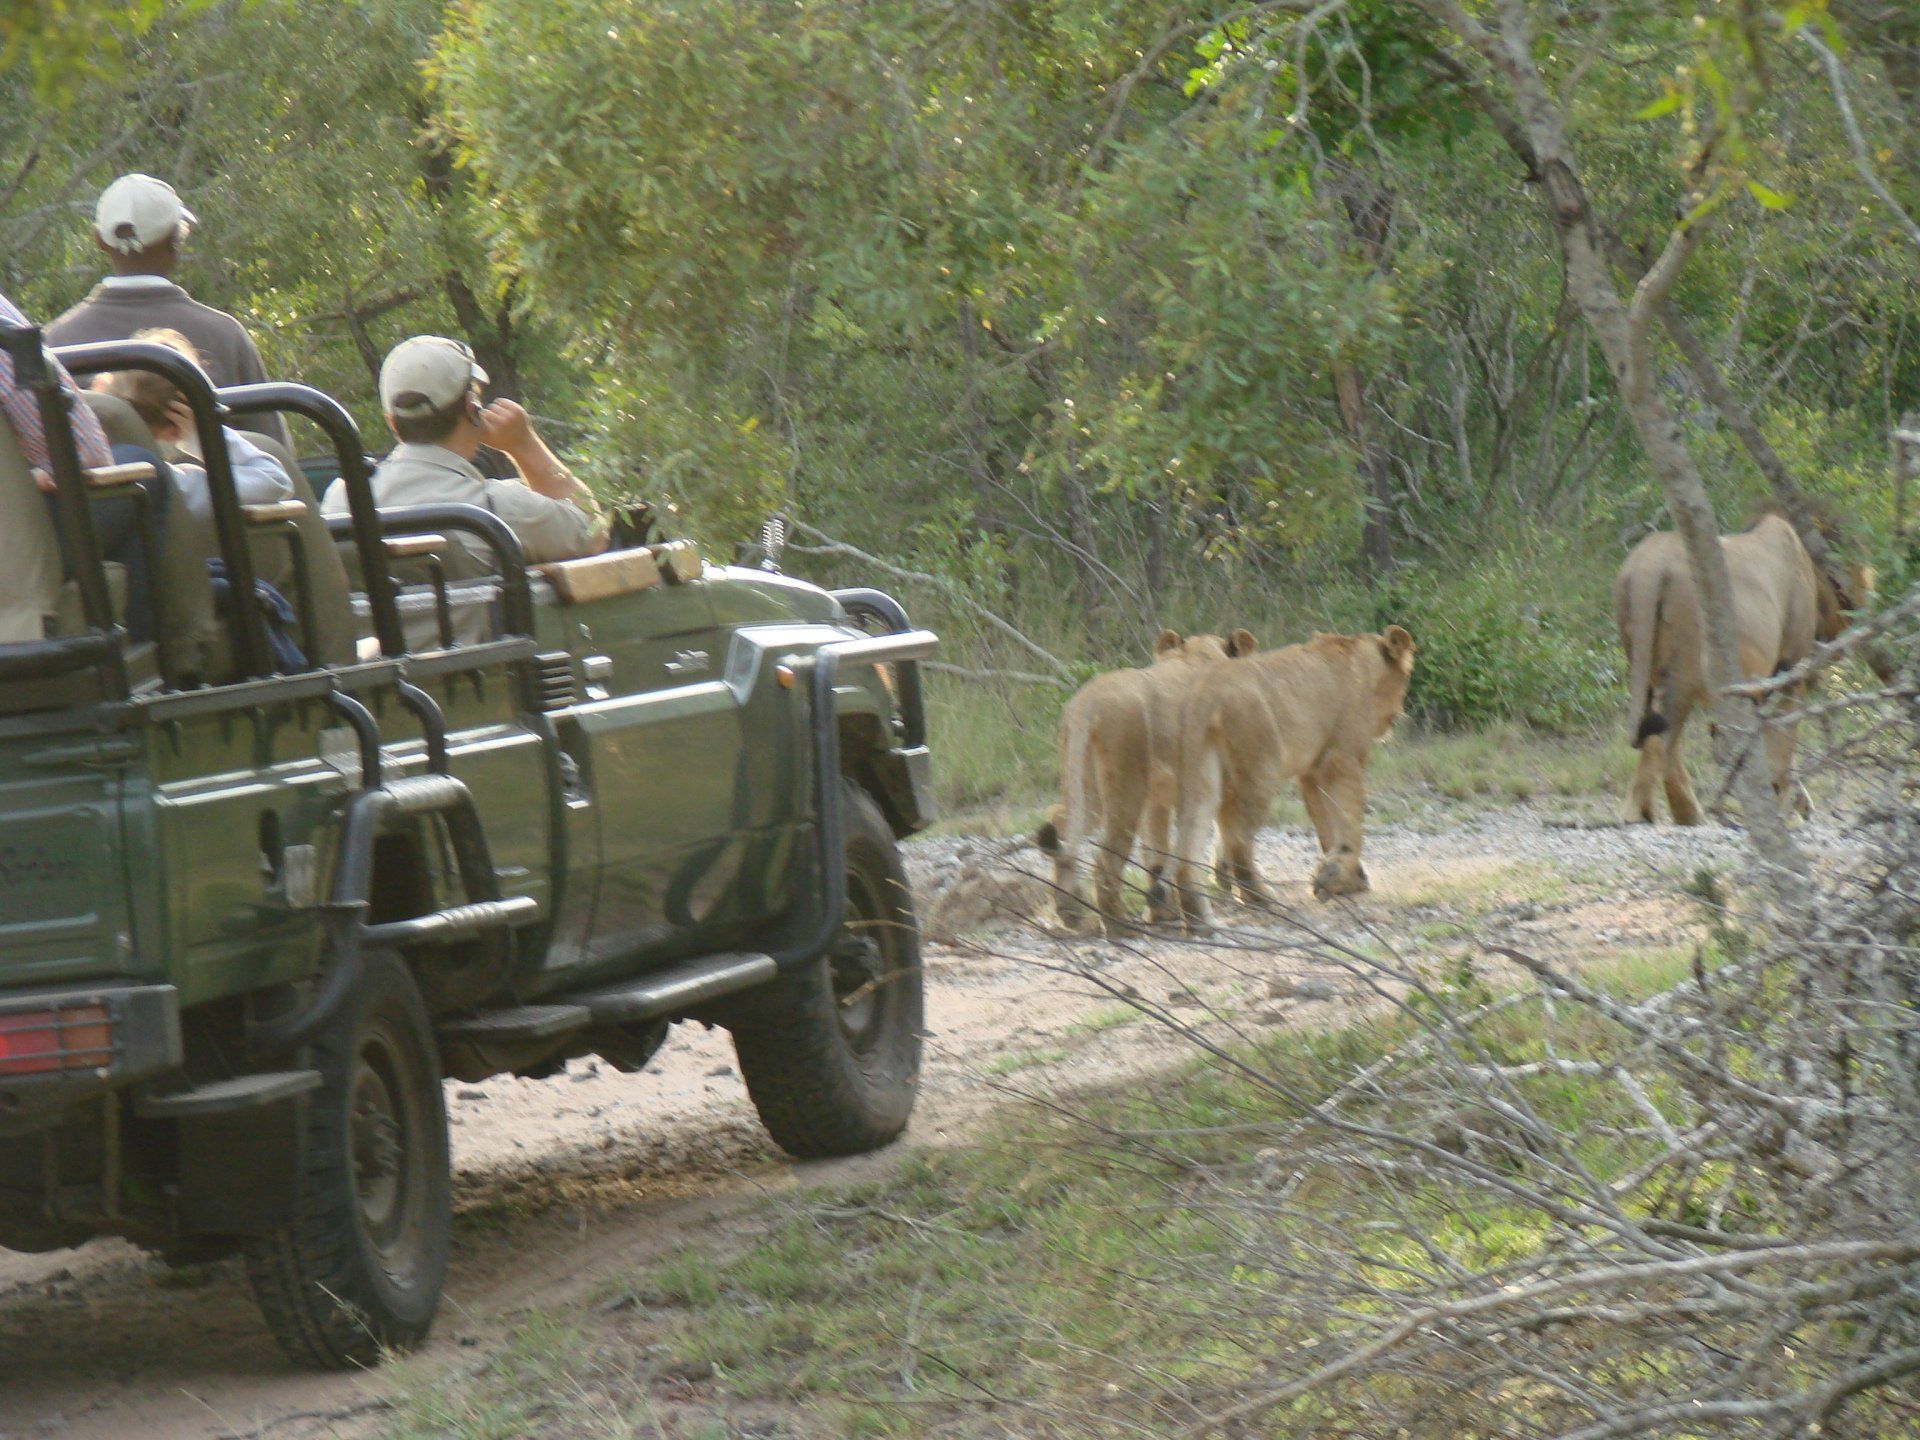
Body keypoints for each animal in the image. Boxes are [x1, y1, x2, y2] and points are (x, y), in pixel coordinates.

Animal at [1036, 627, 1256, 934]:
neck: (1200, 655)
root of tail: (1088, 701)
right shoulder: (1225, 782)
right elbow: (1233, 840)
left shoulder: (1157, 798)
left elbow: (1157, 852)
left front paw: (1163, 913)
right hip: (1125, 787)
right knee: (1105, 859)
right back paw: (1118, 926)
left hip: (1086, 784)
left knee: (1059, 821)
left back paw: (1071, 911)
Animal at [1169, 626, 1416, 930]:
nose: (1397, 715)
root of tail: (1204, 693)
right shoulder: (1341, 759)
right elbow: (1349, 821)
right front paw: (1341, 878)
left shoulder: (1310, 770)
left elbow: (1327, 826)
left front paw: (1344, 880)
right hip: (1259, 771)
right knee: (1238, 839)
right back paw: (1259, 897)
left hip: (1206, 776)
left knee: (1191, 846)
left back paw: (1195, 915)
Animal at [1614, 513, 1867, 825]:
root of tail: (1651, 565)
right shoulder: (1787, 671)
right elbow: (1782, 743)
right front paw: (1783, 804)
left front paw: (1797, 801)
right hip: (1684, 671)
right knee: (1662, 740)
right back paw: (1655, 815)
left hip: (1644, 662)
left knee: (1662, 740)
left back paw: (1676, 814)